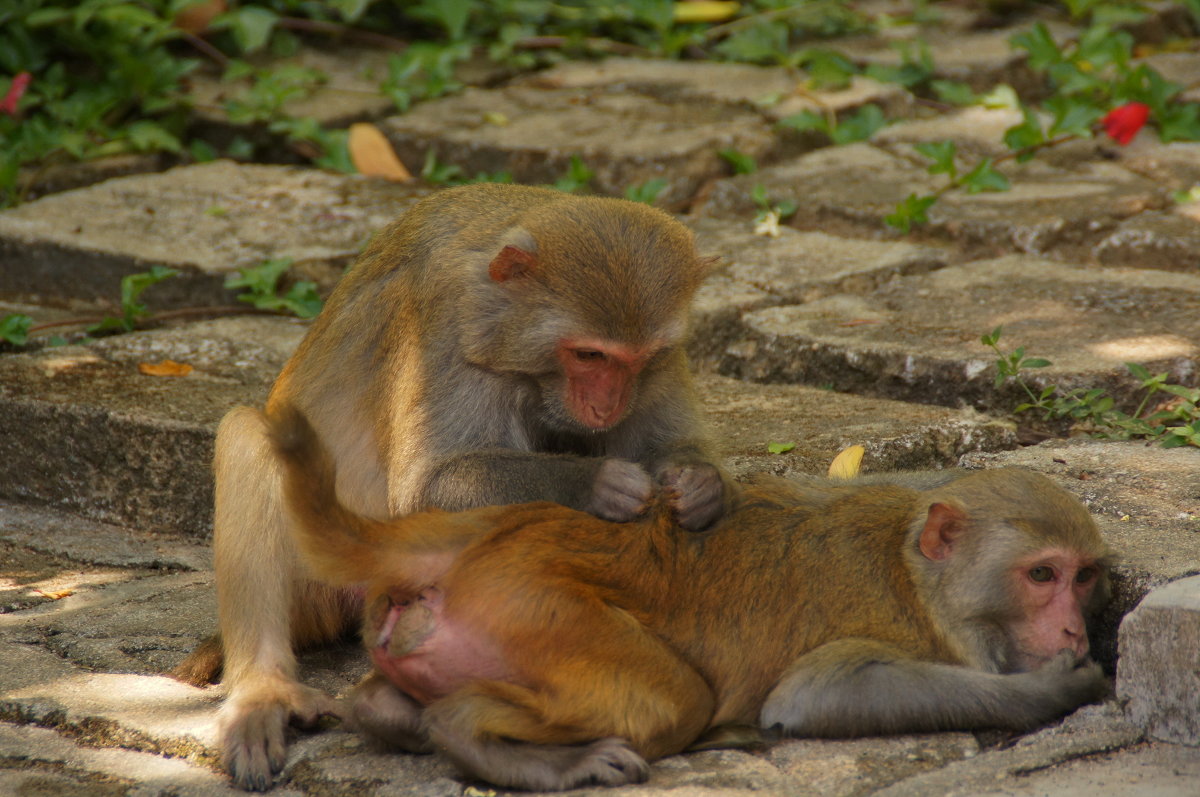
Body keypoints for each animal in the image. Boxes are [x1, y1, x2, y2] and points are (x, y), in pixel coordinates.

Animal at [176, 184, 729, 792]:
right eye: (589, 354)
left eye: (638, 358)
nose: (606, 406)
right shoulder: (444, 333)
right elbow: (427, 487)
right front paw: (600, 484)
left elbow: (672, 447)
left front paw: (701, 486)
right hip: (321, 577)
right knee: (249, 435)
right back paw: (263, 693)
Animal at [267, 408, 1108, 792]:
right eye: (1041, 575)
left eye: (1086, 577)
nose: (1074, 624)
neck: (916, 575)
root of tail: (494, 539)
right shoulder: (884, 610)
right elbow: (816, 692)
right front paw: (1051, 689)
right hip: (537, 607)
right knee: (673, 697)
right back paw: (494, 742)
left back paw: (395, 714)